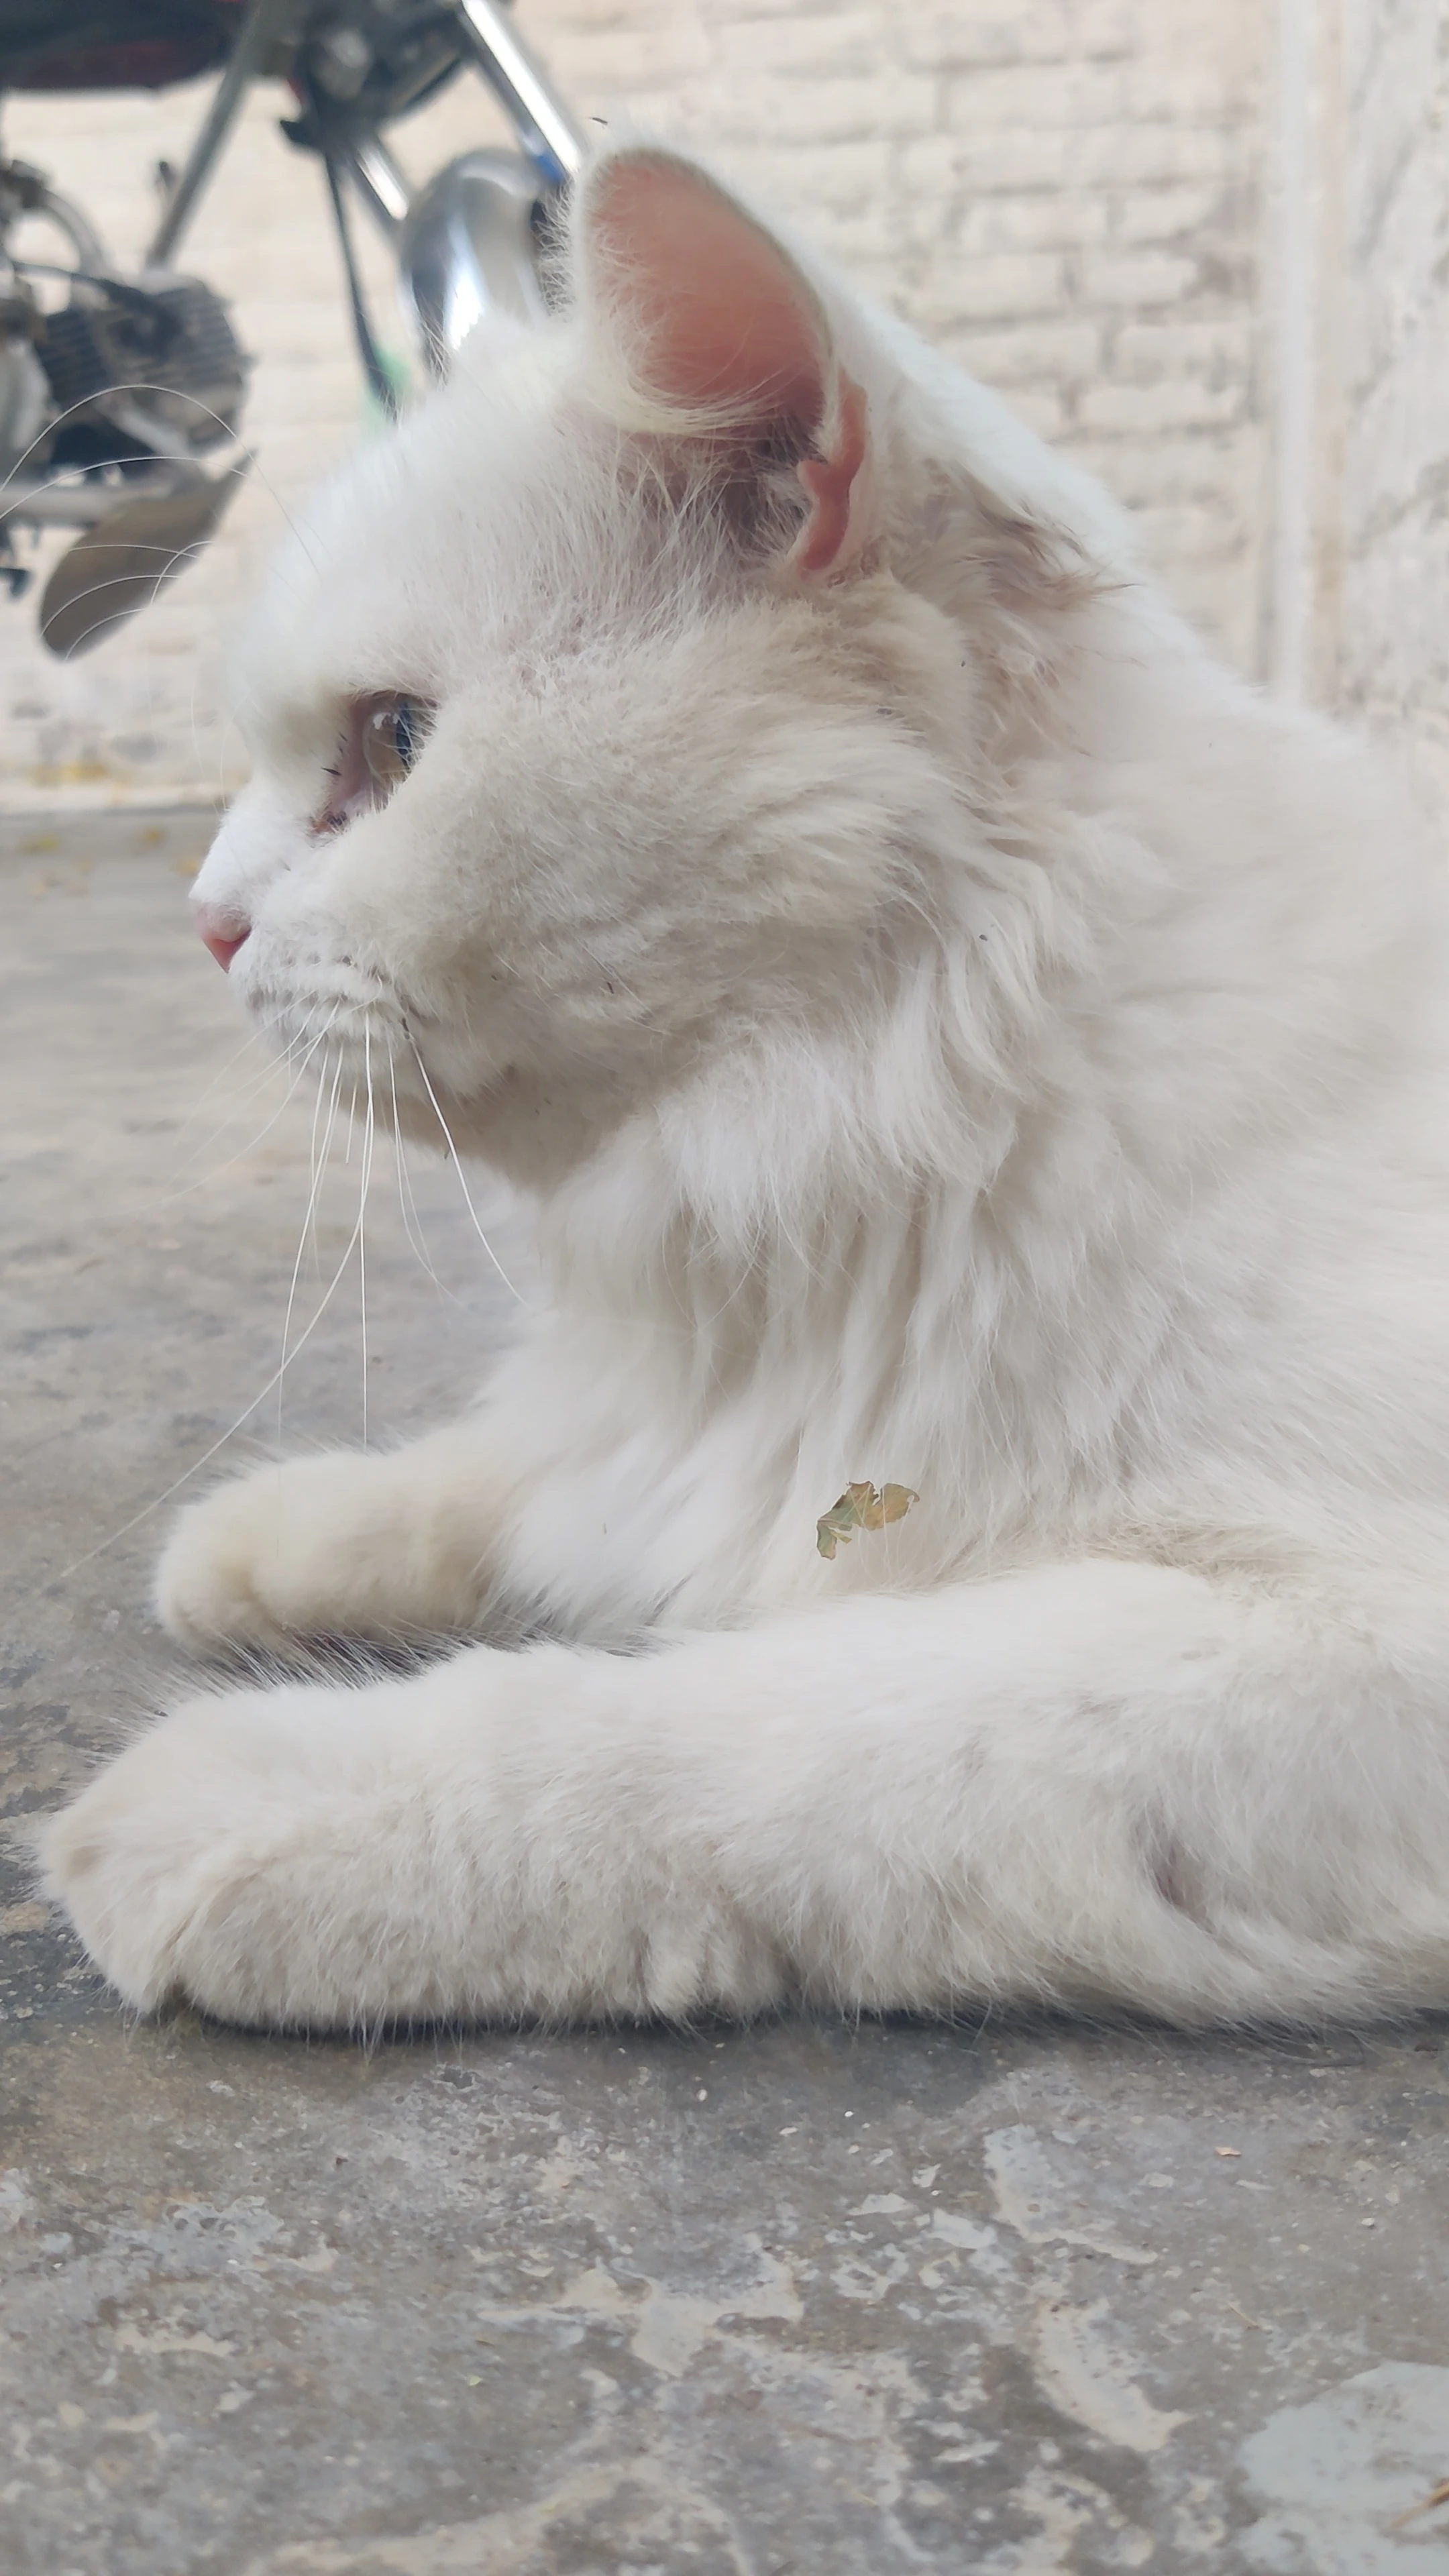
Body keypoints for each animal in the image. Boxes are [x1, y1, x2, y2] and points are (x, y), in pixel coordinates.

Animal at [39, 146, 1444, 2029]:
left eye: (394, 746)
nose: (202, 925)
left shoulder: (1343, 1649)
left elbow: (726, 1731)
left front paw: (259, 1795)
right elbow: (519, 1465)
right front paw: (270, 1537)